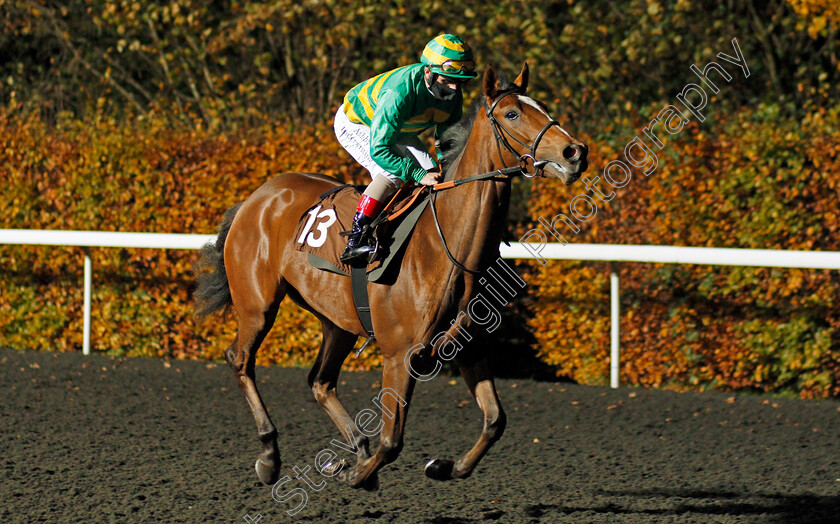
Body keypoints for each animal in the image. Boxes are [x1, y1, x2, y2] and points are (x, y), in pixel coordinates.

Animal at [197, 63, 592, 490]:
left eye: (543, 105)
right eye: (512, 114)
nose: (575, 152)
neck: (450, 249)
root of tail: (255, 197)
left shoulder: (471, 346)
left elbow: (495, 421)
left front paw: (443, 467)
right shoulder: (400, 355)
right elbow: (392, 441)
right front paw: (358, 474)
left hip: (338, 320)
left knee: (320, 380)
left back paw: (355, 446)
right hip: (258, 304)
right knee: (240, 359)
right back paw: (271, 454)